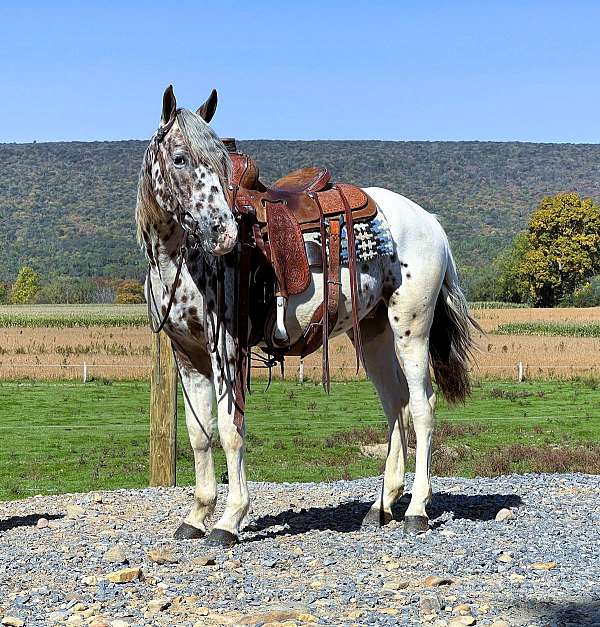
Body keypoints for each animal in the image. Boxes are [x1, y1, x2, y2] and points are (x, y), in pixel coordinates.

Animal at [135, 86, 478, 548]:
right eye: (179, 158)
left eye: (220, 162)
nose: (224, 233)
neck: (181, 260)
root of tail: (430, 222)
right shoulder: (188, 354)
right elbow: (198, 433)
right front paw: (197, 515)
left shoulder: (226, 348)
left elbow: (229, 429)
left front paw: (229, 519)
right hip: (372, 333)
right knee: (396, 404)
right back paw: (381, 506)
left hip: (412, 328)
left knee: (422, 406)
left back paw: (417, 510)